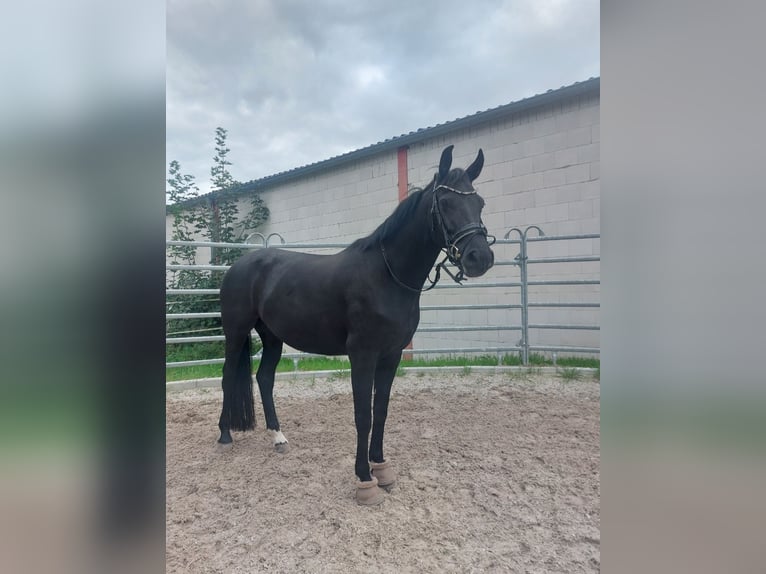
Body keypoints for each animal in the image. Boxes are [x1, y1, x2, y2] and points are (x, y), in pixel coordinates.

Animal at [218, 144, 498, 504]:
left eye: (480, 203)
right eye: (446, 202)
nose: (480, 258)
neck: (386, 276)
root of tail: (239, 265)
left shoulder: (391, 356)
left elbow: (381, 411)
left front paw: (382, 468)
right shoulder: (363, 356)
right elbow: (363, 415)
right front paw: (365, 480)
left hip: (272, 337)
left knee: (264, 379)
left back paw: (278, 437)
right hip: (236, 332)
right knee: (228, 377)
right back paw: (225, 435)